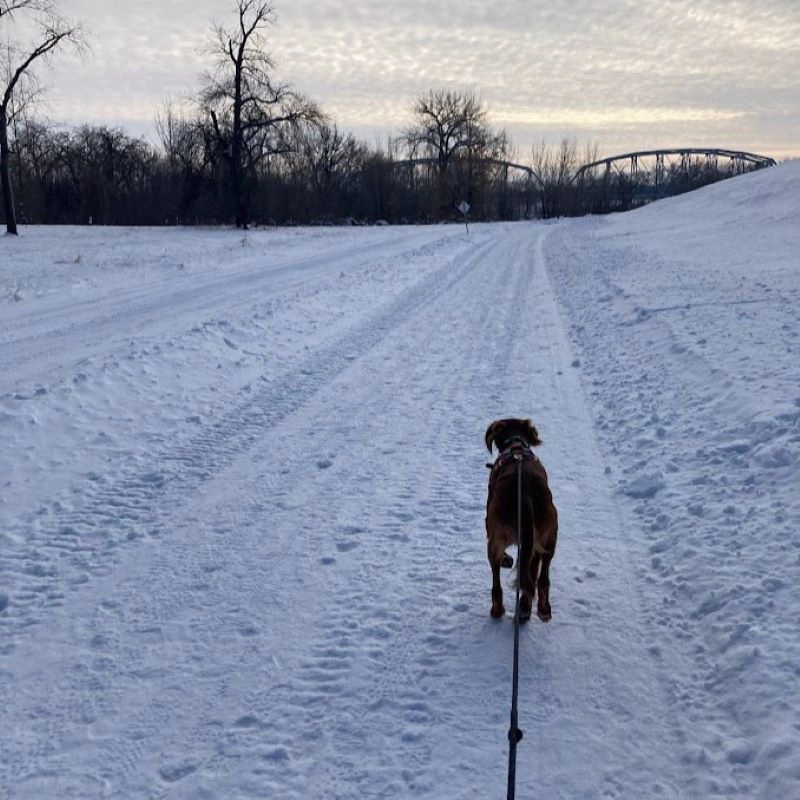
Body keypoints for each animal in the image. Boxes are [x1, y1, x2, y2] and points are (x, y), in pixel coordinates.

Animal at [484, 418, 560, 624]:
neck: (516, 445)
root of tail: (524, 493)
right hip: (548, 539)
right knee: (539, 579)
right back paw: (536, 609)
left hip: (495, 540)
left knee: (497, 583)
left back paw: (497, 610)